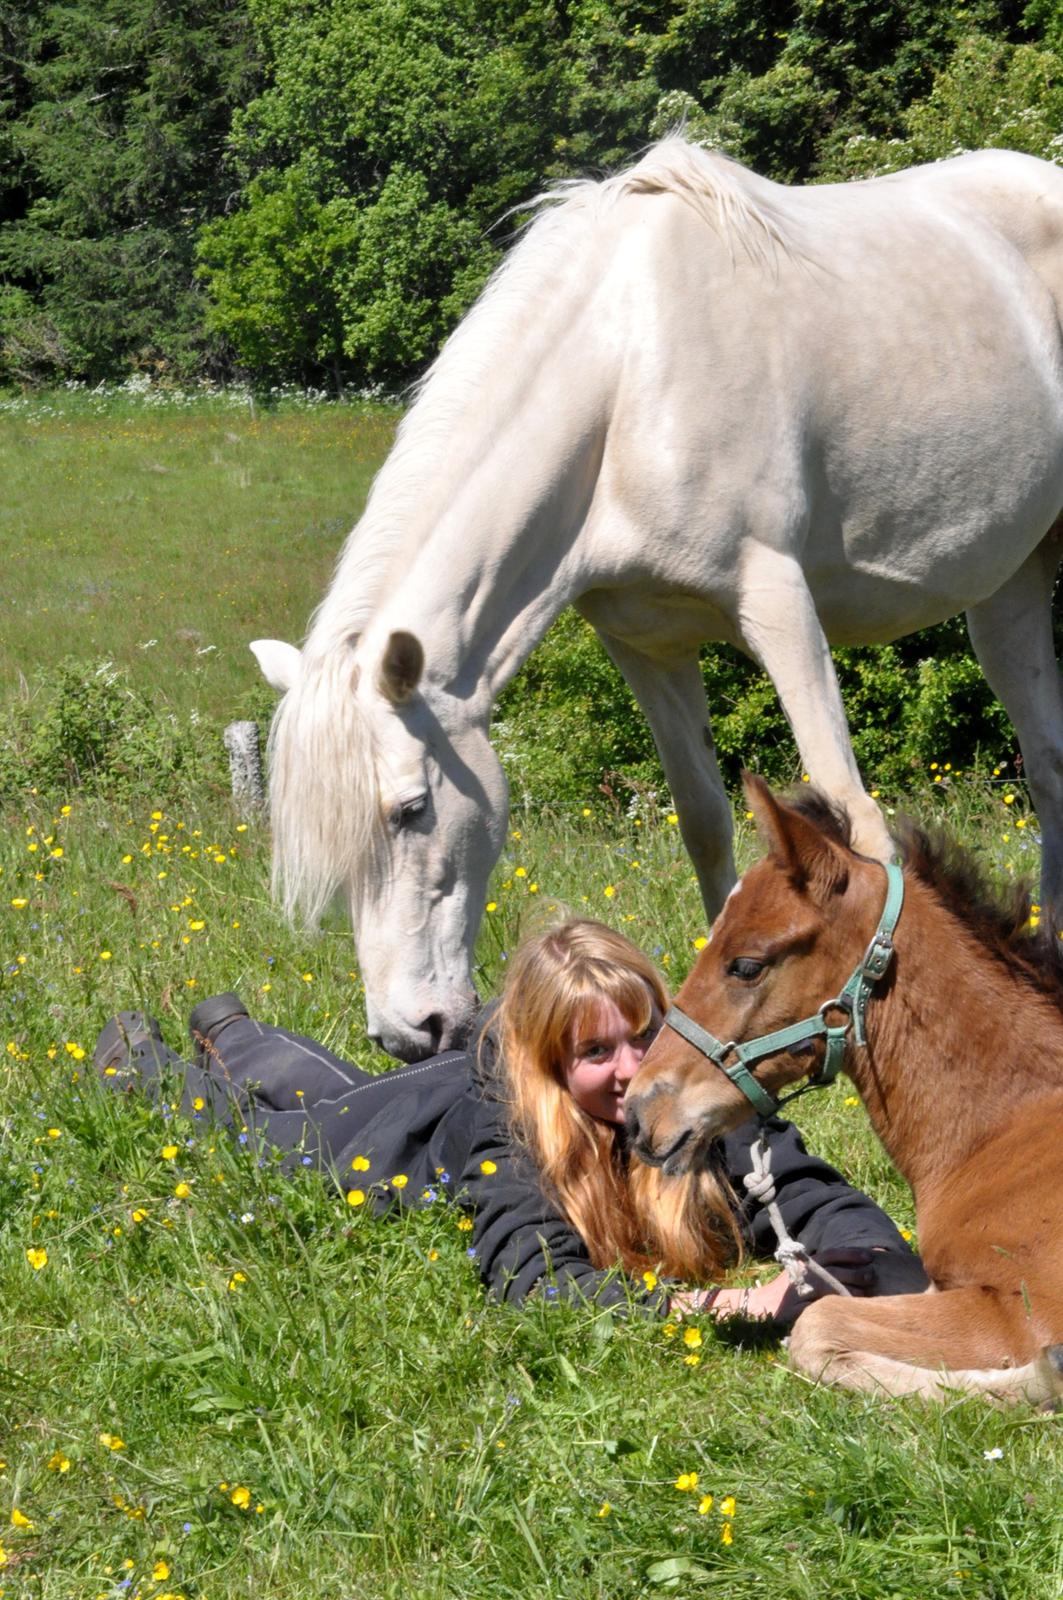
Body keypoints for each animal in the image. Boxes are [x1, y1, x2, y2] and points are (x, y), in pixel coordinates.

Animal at [256, 134, 1063, 1062]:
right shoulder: (645, 645)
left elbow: (853, 814)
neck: (626, 378)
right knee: (1049, 766)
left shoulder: (778, 604)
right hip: (1008, 587)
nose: (407, 1035)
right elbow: (705, 822)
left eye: (413, 809)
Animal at [627, 774, 1063, 1401]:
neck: (1007, 1129)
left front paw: (1039, 1380)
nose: (638, 1111)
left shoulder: (1023, 1308)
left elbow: (817, 1324)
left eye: (746, 965)